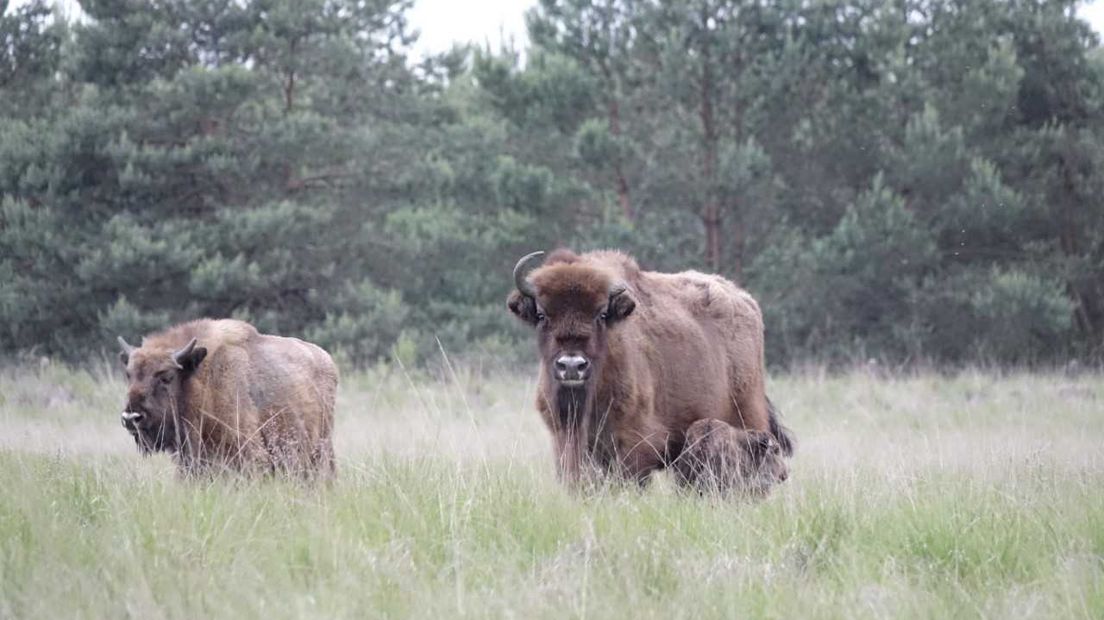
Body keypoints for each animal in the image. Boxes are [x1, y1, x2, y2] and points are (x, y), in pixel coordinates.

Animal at [507, 248, 794, 489]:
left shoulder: (636, 442)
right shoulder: (565, 438)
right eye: (542, 315)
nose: (571, 366)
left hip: (748, 418)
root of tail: (746, 302)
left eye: (601, 314)